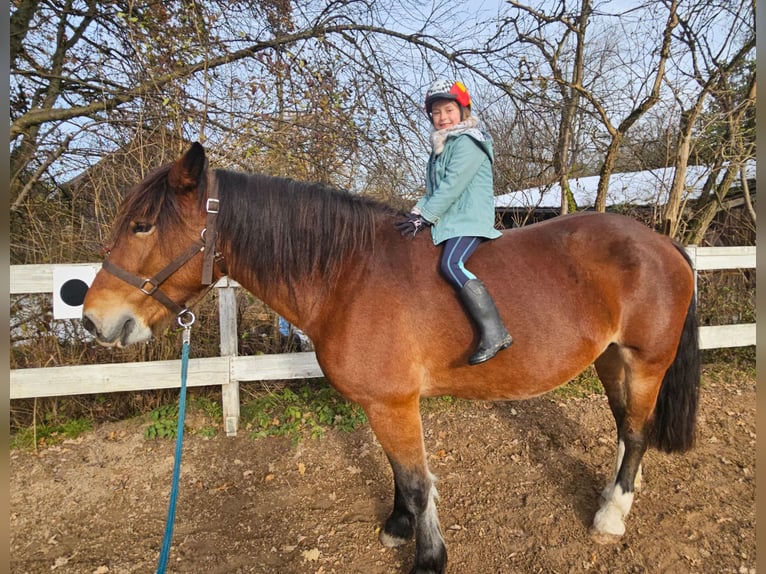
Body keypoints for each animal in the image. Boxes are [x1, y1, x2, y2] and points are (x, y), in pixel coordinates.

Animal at [81, 142, 700, 572]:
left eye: (143, 225)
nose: (93, 320)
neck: (347, 275)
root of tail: (662, 242)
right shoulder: (382, 404)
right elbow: (398, 474)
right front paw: (399, 527)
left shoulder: (394, 404)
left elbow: (419, 480)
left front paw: (428, 557)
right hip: (610, 359)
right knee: (626, 428)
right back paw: (620, 491)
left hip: (645, 362)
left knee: (636, 432)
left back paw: (611, 515)